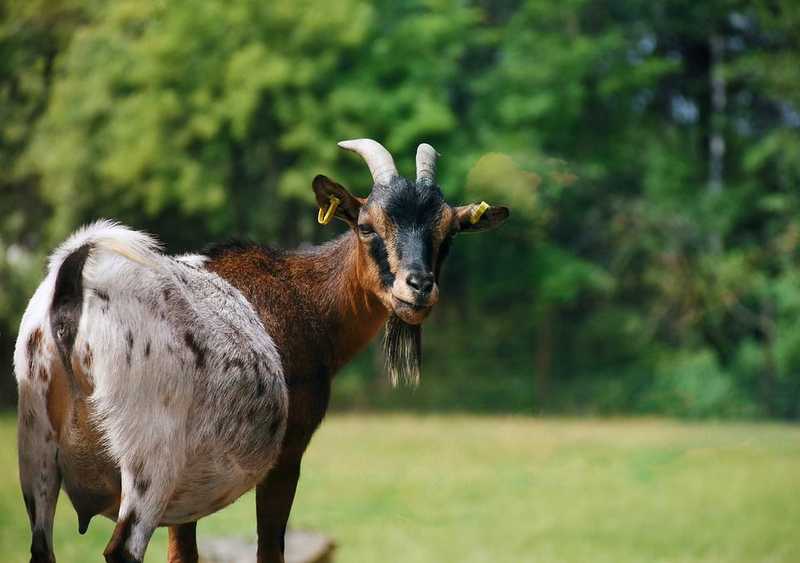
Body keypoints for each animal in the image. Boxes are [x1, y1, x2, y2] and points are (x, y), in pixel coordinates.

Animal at [15, 138, 510, 563]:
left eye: (449, 232)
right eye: (368, 226)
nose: (418, 287)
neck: (304, 296)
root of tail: (72, 285)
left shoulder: (187, 497)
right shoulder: (286, 456)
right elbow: (270, 550)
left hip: (37, 452)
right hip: (148, 459)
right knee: (123, 549)